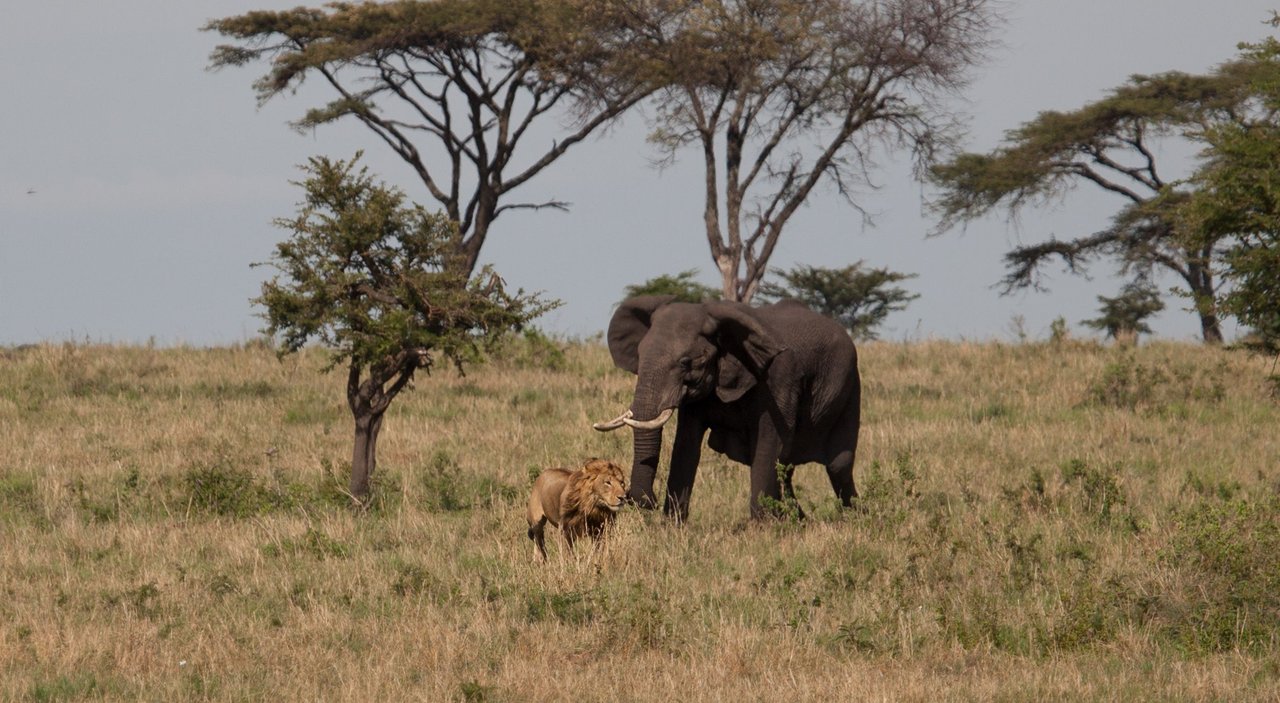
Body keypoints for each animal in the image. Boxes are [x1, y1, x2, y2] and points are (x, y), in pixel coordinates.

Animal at [591, 293, 860, 517]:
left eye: (686, 363)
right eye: (640, 355)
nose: (643, 501)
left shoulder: (778, 380)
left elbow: (768, 442)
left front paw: (763, 529)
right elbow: (686, 445)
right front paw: (672, 528)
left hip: (850, 385)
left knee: (837, 465)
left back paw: (853, 517)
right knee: (787, 466)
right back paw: (799, 520)